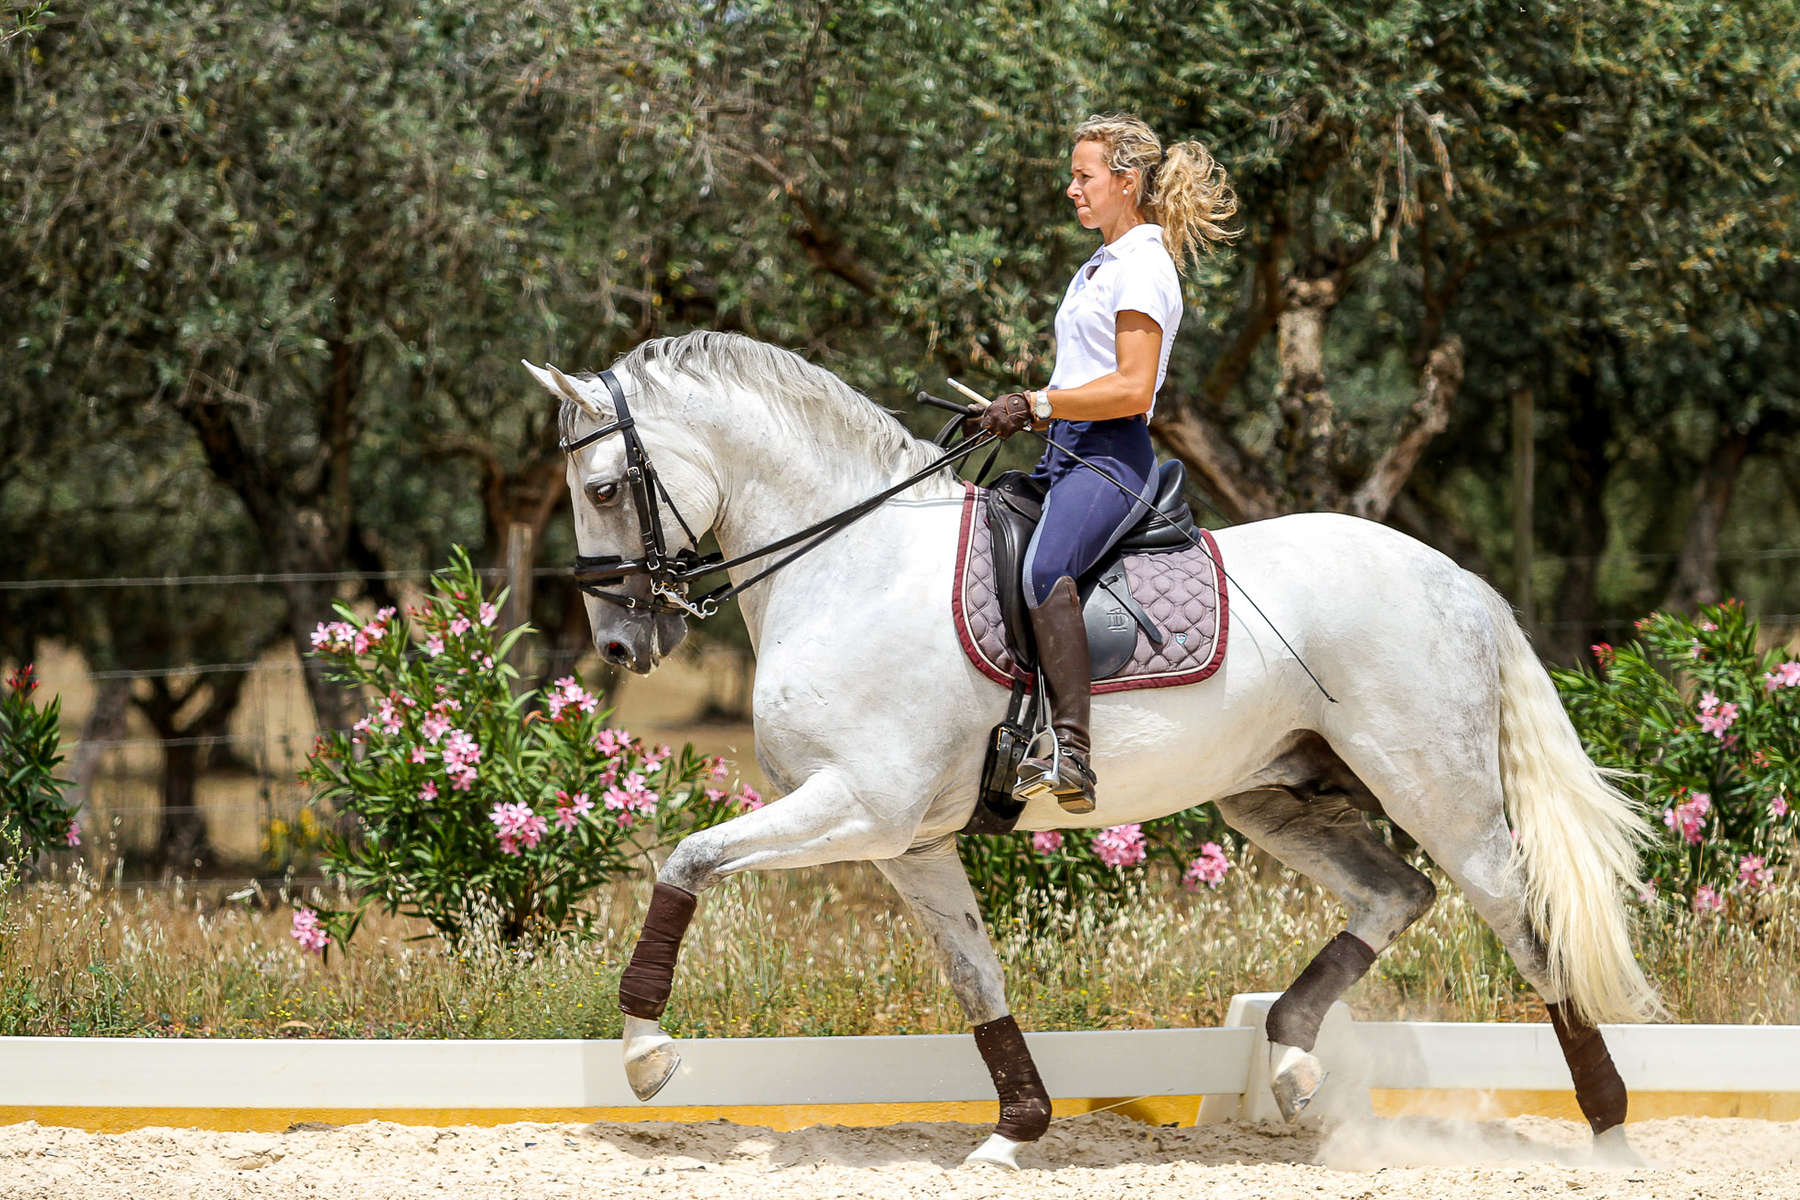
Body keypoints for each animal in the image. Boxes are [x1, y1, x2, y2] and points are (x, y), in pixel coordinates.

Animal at [518, 329, 1648, 1165]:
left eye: (607, 489)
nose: (618, 642)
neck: (850, 563)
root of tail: (1457, 579)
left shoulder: (861, 807)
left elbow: (685, 860)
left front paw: (647, 1054)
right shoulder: (908, 840)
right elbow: (976, 977)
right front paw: (1016, 1132)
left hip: (1437, 791)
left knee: (1524, 923)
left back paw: (1607, 1127)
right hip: (1272, 795)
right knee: (1395, 894)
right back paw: (1289, 1062)